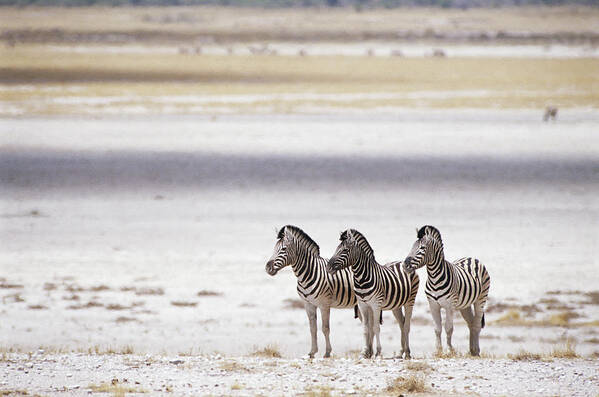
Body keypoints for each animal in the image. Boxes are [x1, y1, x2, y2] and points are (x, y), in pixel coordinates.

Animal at [266, 224, 358, 358]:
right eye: (274, 248)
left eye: (283, 249)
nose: (267, 267)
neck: (307, 273)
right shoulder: (308, 304)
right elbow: (312, 328)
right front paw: (312, 352)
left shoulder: (324, 305)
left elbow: (325, 328)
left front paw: (327, 352)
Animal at [326, 227, 420, 358]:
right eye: (336, 249)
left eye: (345, 250)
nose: (328, 268)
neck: (361, 278)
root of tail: (401, 262)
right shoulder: (363, 305)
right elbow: (366, 329)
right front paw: (365, 352)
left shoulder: (376, 305)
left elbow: (376, 328)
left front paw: (378, 352)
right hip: (396, 305)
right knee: (402, 323)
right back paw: (401, 351)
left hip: (410, 300)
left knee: (406, 325)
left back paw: (407, 353)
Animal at [404, 226, 492, 356]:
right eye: (412, 247)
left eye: (422, 248)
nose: (405, 265)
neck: (434, 278)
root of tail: (470, 258)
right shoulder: (433, 305)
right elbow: (437, 329)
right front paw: (438, 350)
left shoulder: (449, 306)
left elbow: (449, 328)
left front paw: (450, 350)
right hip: (464, 306)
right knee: (471, 323)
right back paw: (471, 350)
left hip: (481, 299)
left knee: (476, 324)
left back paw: (476, 351)